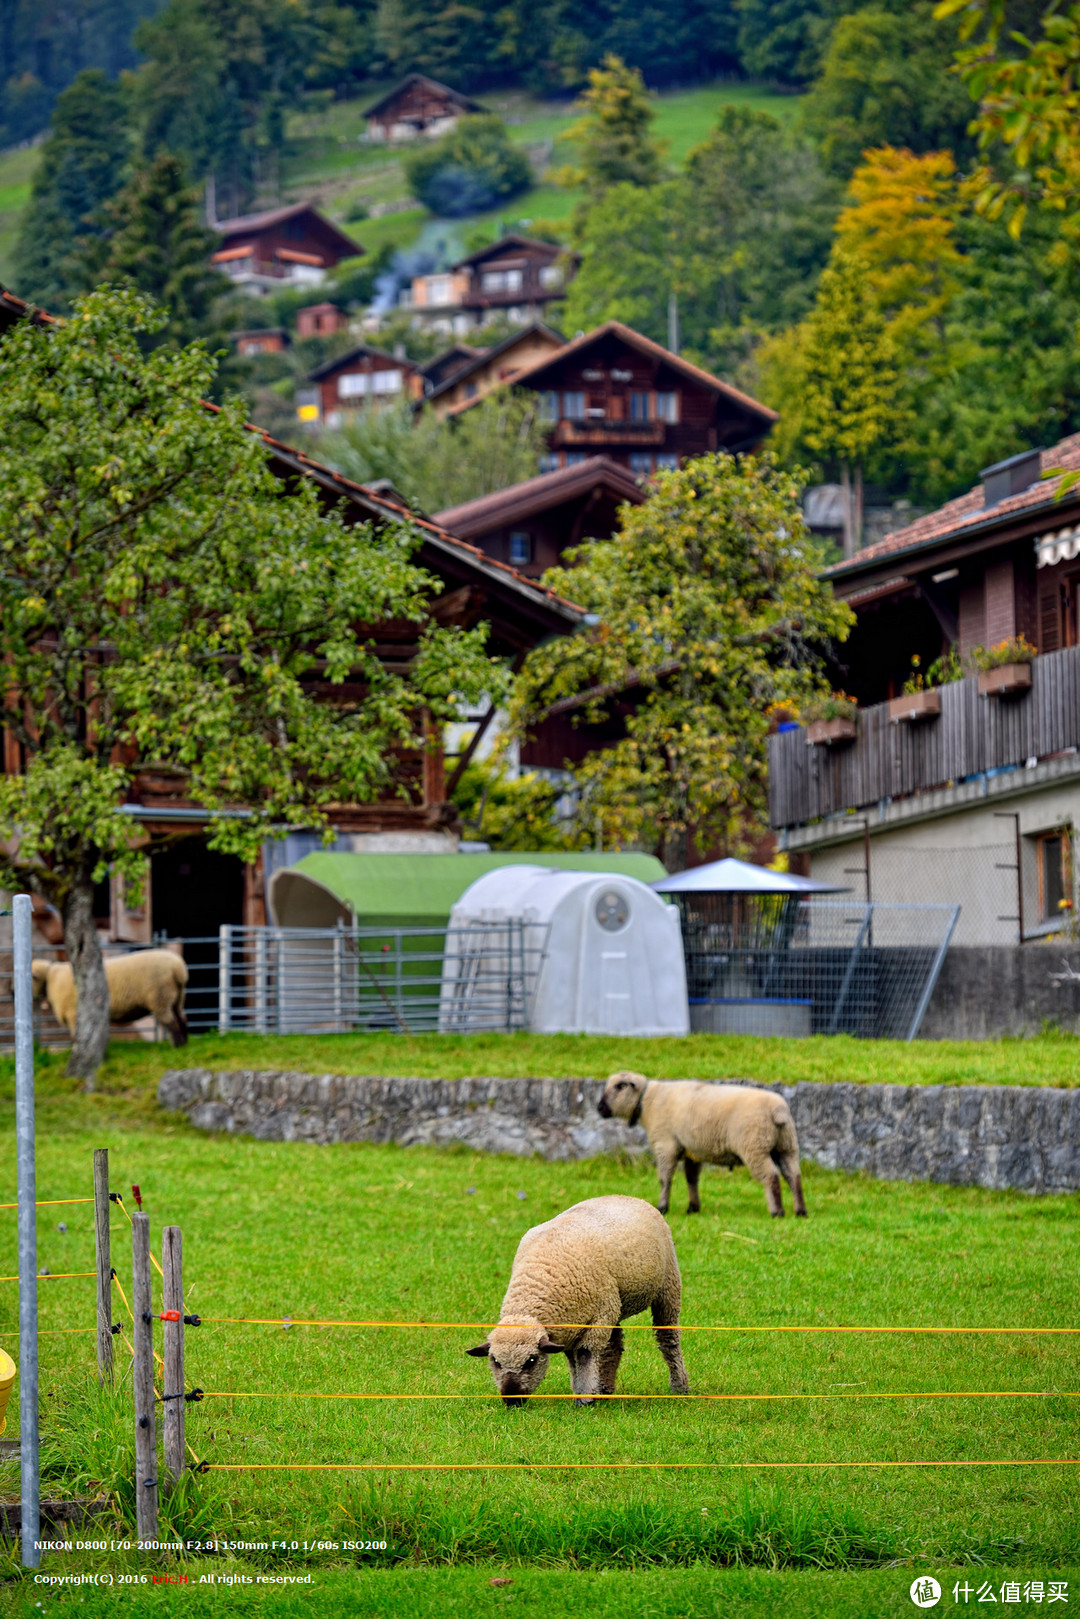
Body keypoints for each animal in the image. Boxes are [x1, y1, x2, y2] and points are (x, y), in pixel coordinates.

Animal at [31, 945, 190, 1049]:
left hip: (161, 998)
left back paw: (177, 1046)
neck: (50, 978)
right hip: (176, 997)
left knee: (171, 1023)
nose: (16, 994)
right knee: (181, 1018)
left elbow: (76, 1037)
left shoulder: (73, 1014)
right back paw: (184, 1044)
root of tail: (179, 969)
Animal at [463, 1191, 683, 1405]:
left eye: (531, 1360)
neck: (536, 1281)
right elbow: (572, 1359)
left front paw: (585, 1398)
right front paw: (581, 1391)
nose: (511, 1400)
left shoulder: (599, 1316)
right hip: (616, 1304)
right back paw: (605, 1390)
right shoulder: (571, 1325)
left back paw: (680, 1387)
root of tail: (627, 1196)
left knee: (668, 1338)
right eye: (495, 1361)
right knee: (614, 1345)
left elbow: (585, 1354)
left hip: (667, 1286)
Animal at [595, 1068, 806, 1217]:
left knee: (771, 1176)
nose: (599, 1108)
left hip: (754, 1147)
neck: (648, 1100)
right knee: (793, 1175)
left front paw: (662, 1207)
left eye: (619, 1086)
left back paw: (777, 1211)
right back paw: (800, 1211)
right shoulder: (691, 1151)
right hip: (786, 1146)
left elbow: (664, 1178)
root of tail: (778, 1111)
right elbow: (691, 1179)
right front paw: (693, 1207)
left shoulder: (666, 1144)